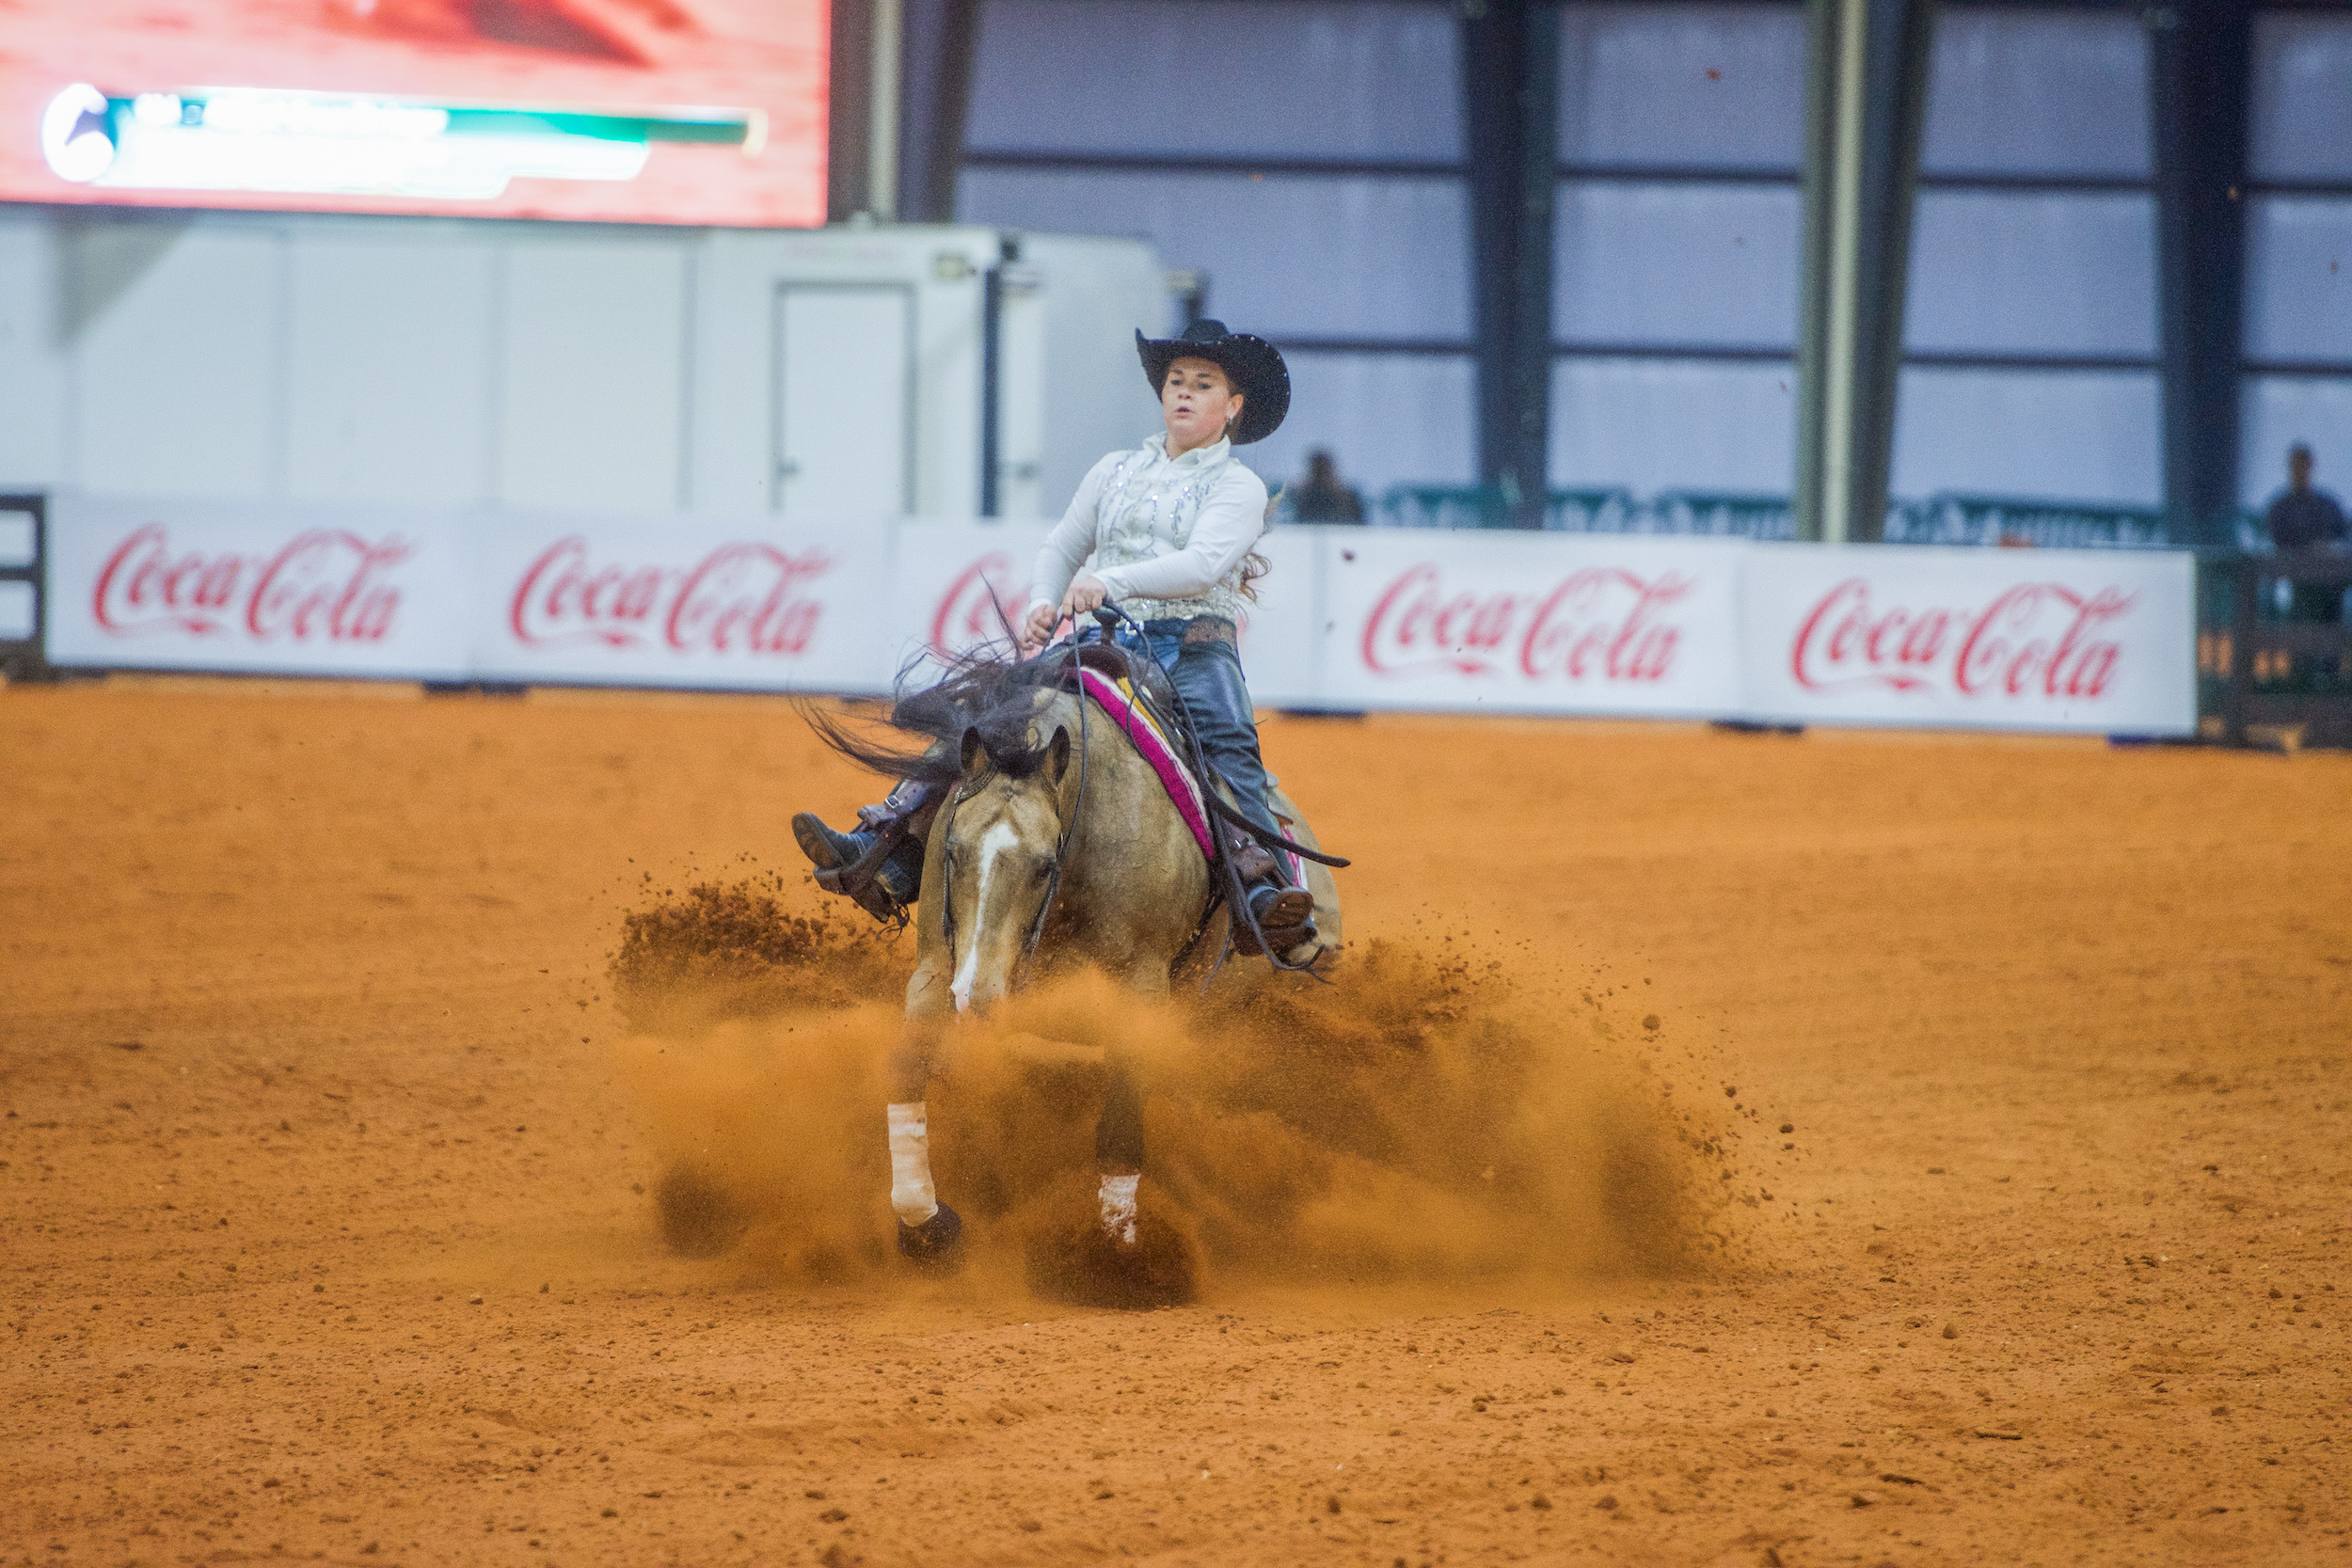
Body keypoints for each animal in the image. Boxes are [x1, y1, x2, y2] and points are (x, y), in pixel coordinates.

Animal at [818, 620, 1345, 1307]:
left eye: (1046, 864)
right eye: (954, 850)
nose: (978, 997)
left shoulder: (1140, 988)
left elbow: (1120, 1121)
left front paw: (1118, 1261)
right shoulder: (938, 966)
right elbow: (906, 1069)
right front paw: (926, 1226)